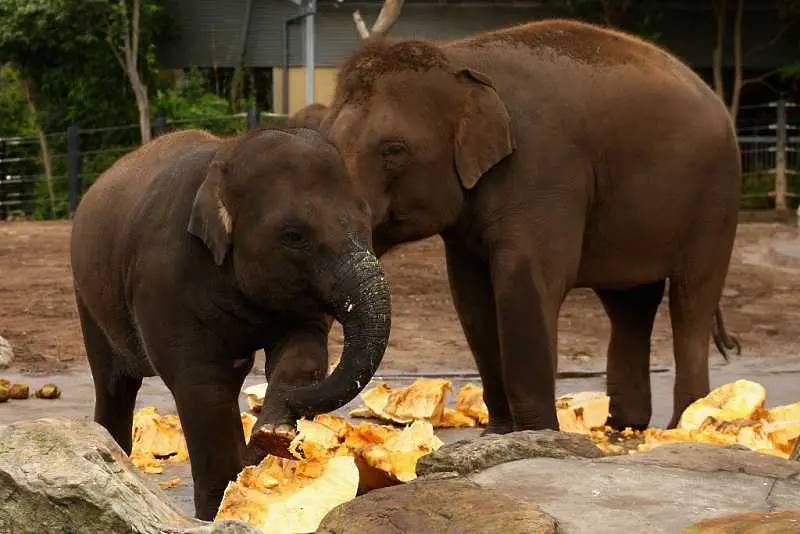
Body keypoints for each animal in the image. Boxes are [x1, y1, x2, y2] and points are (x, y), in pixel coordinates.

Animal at [72, 125, 390, 520]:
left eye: (367, 221)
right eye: (294, 236)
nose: (279, 429)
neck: (225, 158)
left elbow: (303, 346)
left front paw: (273, 433)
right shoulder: (164, 280)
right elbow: (203, 384)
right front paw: (219, 513)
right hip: (88, 299)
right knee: (113, 384)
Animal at [320, 21, 744, 438]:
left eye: (393, 151)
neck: (457, 58)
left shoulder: (545, 170)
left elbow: (525, 283)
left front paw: (535, 435)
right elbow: (471, 298)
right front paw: (497, 435)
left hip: (716, 200)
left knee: (691, 301)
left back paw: (683, 426)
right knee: (630, 305)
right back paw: (624, 425)